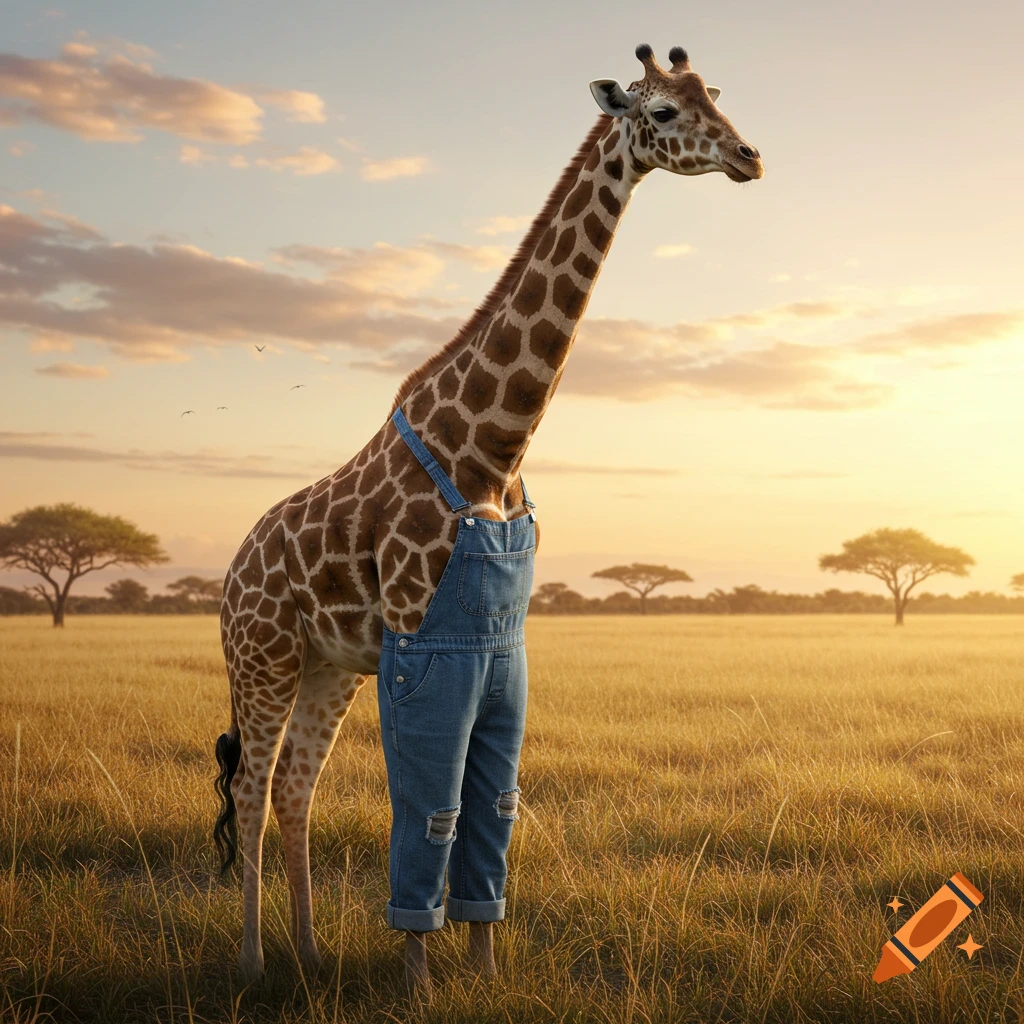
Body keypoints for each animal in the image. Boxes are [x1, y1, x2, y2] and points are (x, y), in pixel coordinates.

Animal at [214, 42, 763, 991]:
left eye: (715, 98)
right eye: (660, 112)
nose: (748, 156)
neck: (491, 454)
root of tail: (228, 574)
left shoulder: (500, 657)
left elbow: (487, 808)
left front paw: (486, 972)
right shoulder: (419, 639)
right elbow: (429, 808)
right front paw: (418, 984)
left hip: (328, 666)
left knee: (294, 786)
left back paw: (310, 954)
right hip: (264, 654)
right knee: (250, 786)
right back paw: (252, 963)